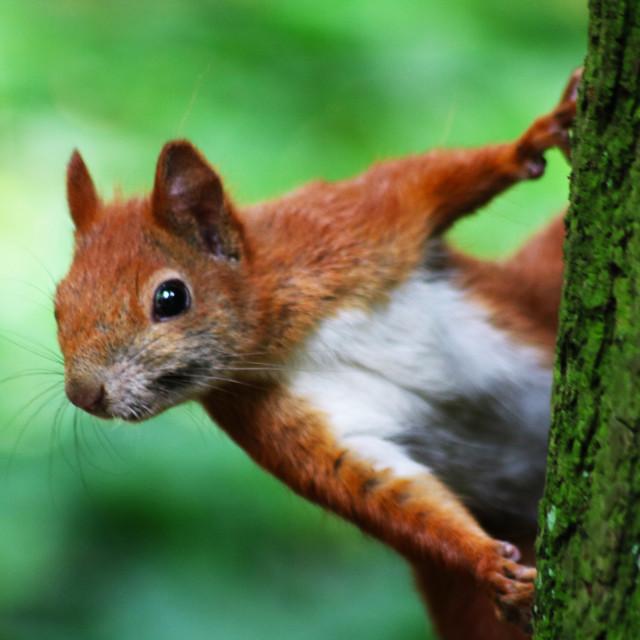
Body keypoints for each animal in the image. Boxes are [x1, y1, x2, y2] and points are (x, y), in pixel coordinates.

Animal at [56, 70, 580, 640]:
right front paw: (487, 564)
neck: (289, 336)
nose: (84, 395)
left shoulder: (349, 225)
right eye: (59, 304)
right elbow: (377, 487)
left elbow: (425, 181)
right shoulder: (274, 416)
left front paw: (535, 138)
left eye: (170, 298)